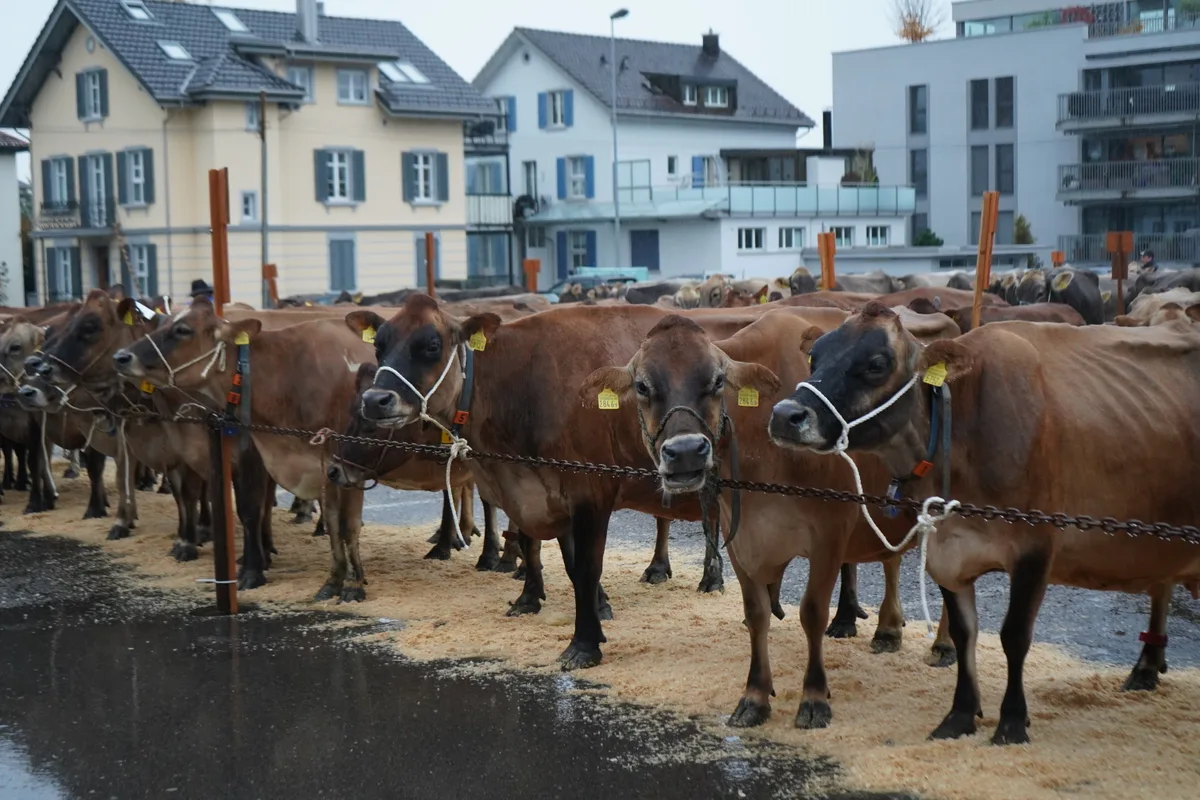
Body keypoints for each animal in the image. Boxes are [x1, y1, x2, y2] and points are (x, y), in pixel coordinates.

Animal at [577, 307, 962, 728]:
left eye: (717, 381)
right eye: (642, 386)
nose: (687, 452)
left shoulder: (829, 535)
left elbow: (812, 612)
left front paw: (814, 698)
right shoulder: (741, 539)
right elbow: (757, 614)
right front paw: (755, 697)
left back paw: (943, 644)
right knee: (892, 559)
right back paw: (888, 629)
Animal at [768, 301, 1200, 744]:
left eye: (876, 363)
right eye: (814, 356)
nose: (786, 415)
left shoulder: (1036, 548)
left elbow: (1015, 635)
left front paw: (1012, 722)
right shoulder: (948, 552)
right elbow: (965, 634)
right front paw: (960, 715)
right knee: (1162, 586)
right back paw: (1148, 667)